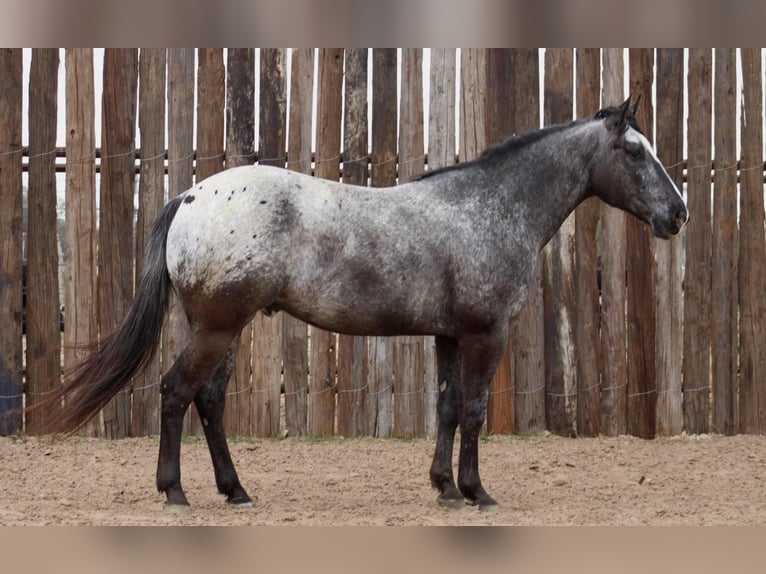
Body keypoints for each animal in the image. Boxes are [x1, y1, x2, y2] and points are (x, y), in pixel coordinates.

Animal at [31, 98, 688, 512]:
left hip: (221, 328)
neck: (489, 207)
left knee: (209, 402)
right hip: (217, 327)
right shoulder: (485, 334)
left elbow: (448, 408)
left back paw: (235, 490)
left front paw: (445, 488)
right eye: (634, 151)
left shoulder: (449, 337)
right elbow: (474, 412)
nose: (677, 213)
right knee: (175, 393)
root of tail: (191, 197)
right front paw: (477, 492)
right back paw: (175, 492)